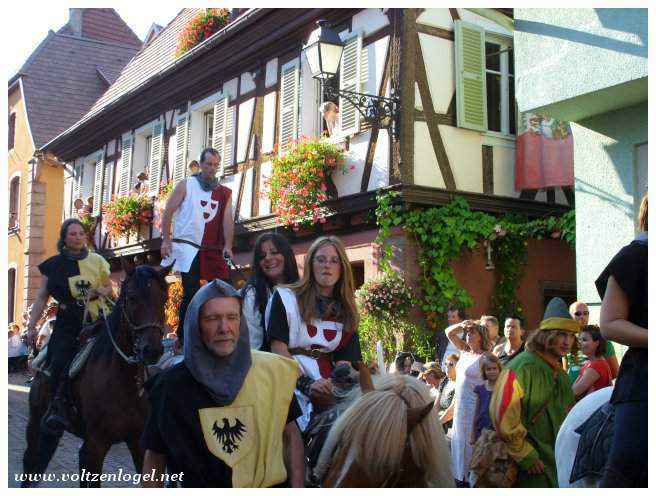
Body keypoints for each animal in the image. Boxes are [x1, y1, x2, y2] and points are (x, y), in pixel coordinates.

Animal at [23, 262, 169, 486]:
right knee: (30, 462)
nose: (151, 350)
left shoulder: (138, 443)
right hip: (35, 422)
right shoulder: (94, 447)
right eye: (132, 297)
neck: (123, 379)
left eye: (164, 299)